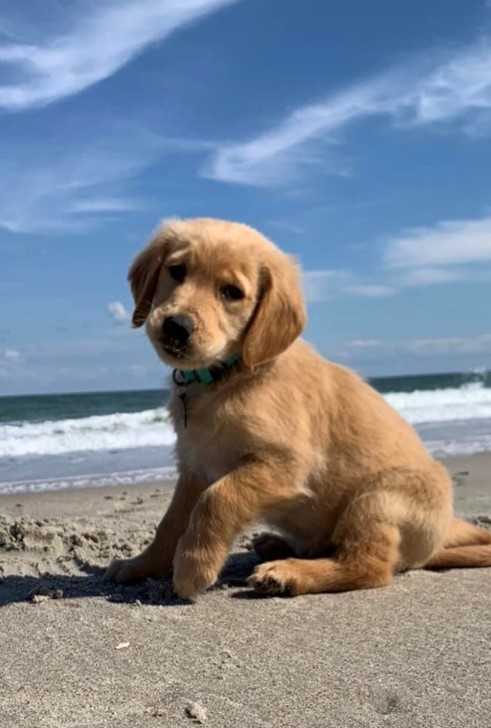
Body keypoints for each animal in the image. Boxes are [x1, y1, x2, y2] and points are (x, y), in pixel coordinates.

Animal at [105, 219, 491, 600]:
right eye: (177, 271)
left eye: (231, 292)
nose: (176, 326)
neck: (226, 377)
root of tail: (443, 533)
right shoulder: (195, 465)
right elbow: (170, 522)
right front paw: (141, 565)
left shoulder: (287, 463)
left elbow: (218, 498)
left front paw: (192, 567)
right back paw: (276, 546)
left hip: (378, 499)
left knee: (369, 568)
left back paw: (288, 573)